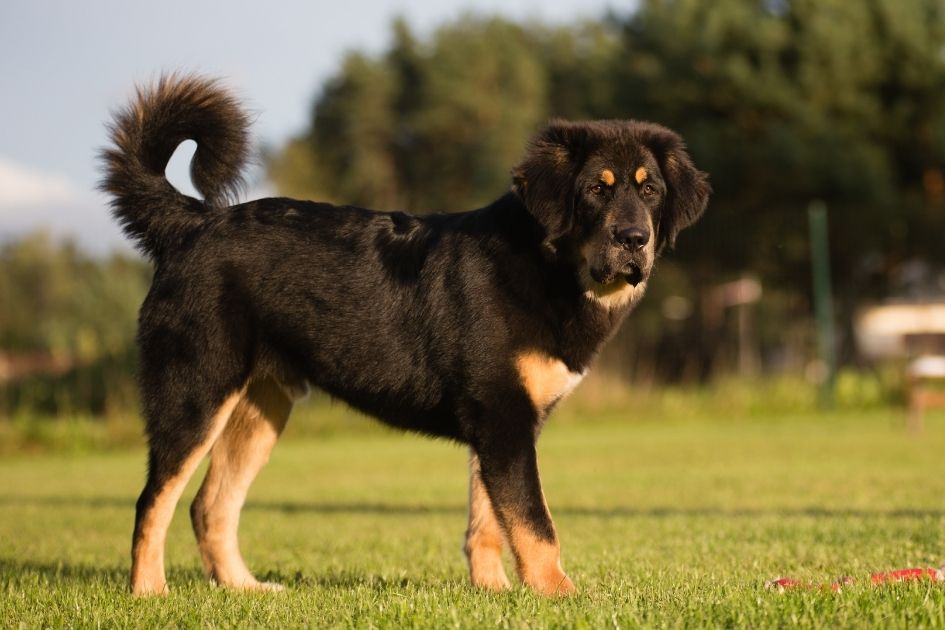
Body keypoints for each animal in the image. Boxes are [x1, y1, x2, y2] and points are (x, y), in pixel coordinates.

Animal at [101, 73, 708, 596]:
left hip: (261, 406)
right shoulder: (504, 418)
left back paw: (246, 590)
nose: (634, 239)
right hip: (195, 393)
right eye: (595, 191)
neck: (548, 266)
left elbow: (490, 522)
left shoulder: (501, 425)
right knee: (153, 500)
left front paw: (494, 592)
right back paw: (149, 592)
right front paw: (561, 594)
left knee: (210, 505)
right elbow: (535, 522)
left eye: (650, 190)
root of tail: (193, 224)